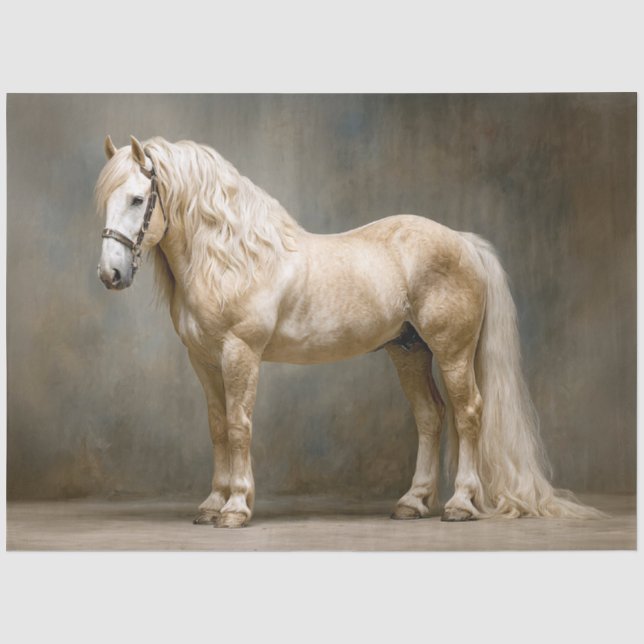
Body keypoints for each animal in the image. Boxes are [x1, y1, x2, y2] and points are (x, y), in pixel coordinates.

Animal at [96, 135, 601, 528]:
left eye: (138, 199)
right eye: (106, 201)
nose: (110, 274)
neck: (234, 258)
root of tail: (462, 241)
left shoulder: (240, 353)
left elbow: (239, 426)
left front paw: (236, 507)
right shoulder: (203, 360)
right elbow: (218, 427)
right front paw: (211, 505)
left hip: (452, 351)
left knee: (468, 413)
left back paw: (459, 504)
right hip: (409, 351)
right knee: (430, 417)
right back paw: (412, 502)